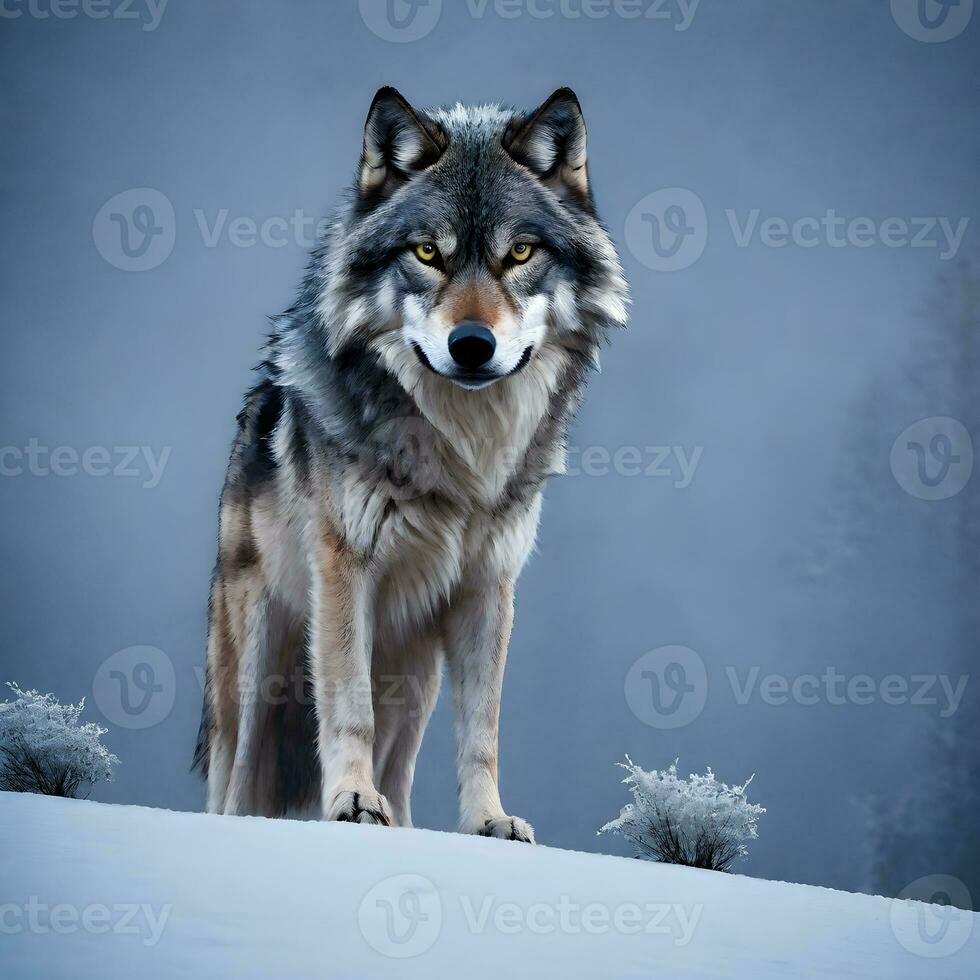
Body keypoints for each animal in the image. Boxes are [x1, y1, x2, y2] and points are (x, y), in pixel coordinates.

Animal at [193, 86, 628, 844]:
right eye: (428, 252)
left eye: (520, 252)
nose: (473, 344)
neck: (462, 455)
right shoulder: (345, 569)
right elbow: (348, 710)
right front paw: (349, 803)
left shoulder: (488, 589)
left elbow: (482, 731)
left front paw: (489, 821)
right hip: (258, 663)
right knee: (236, 779)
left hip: (414, 675)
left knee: (400, 772)